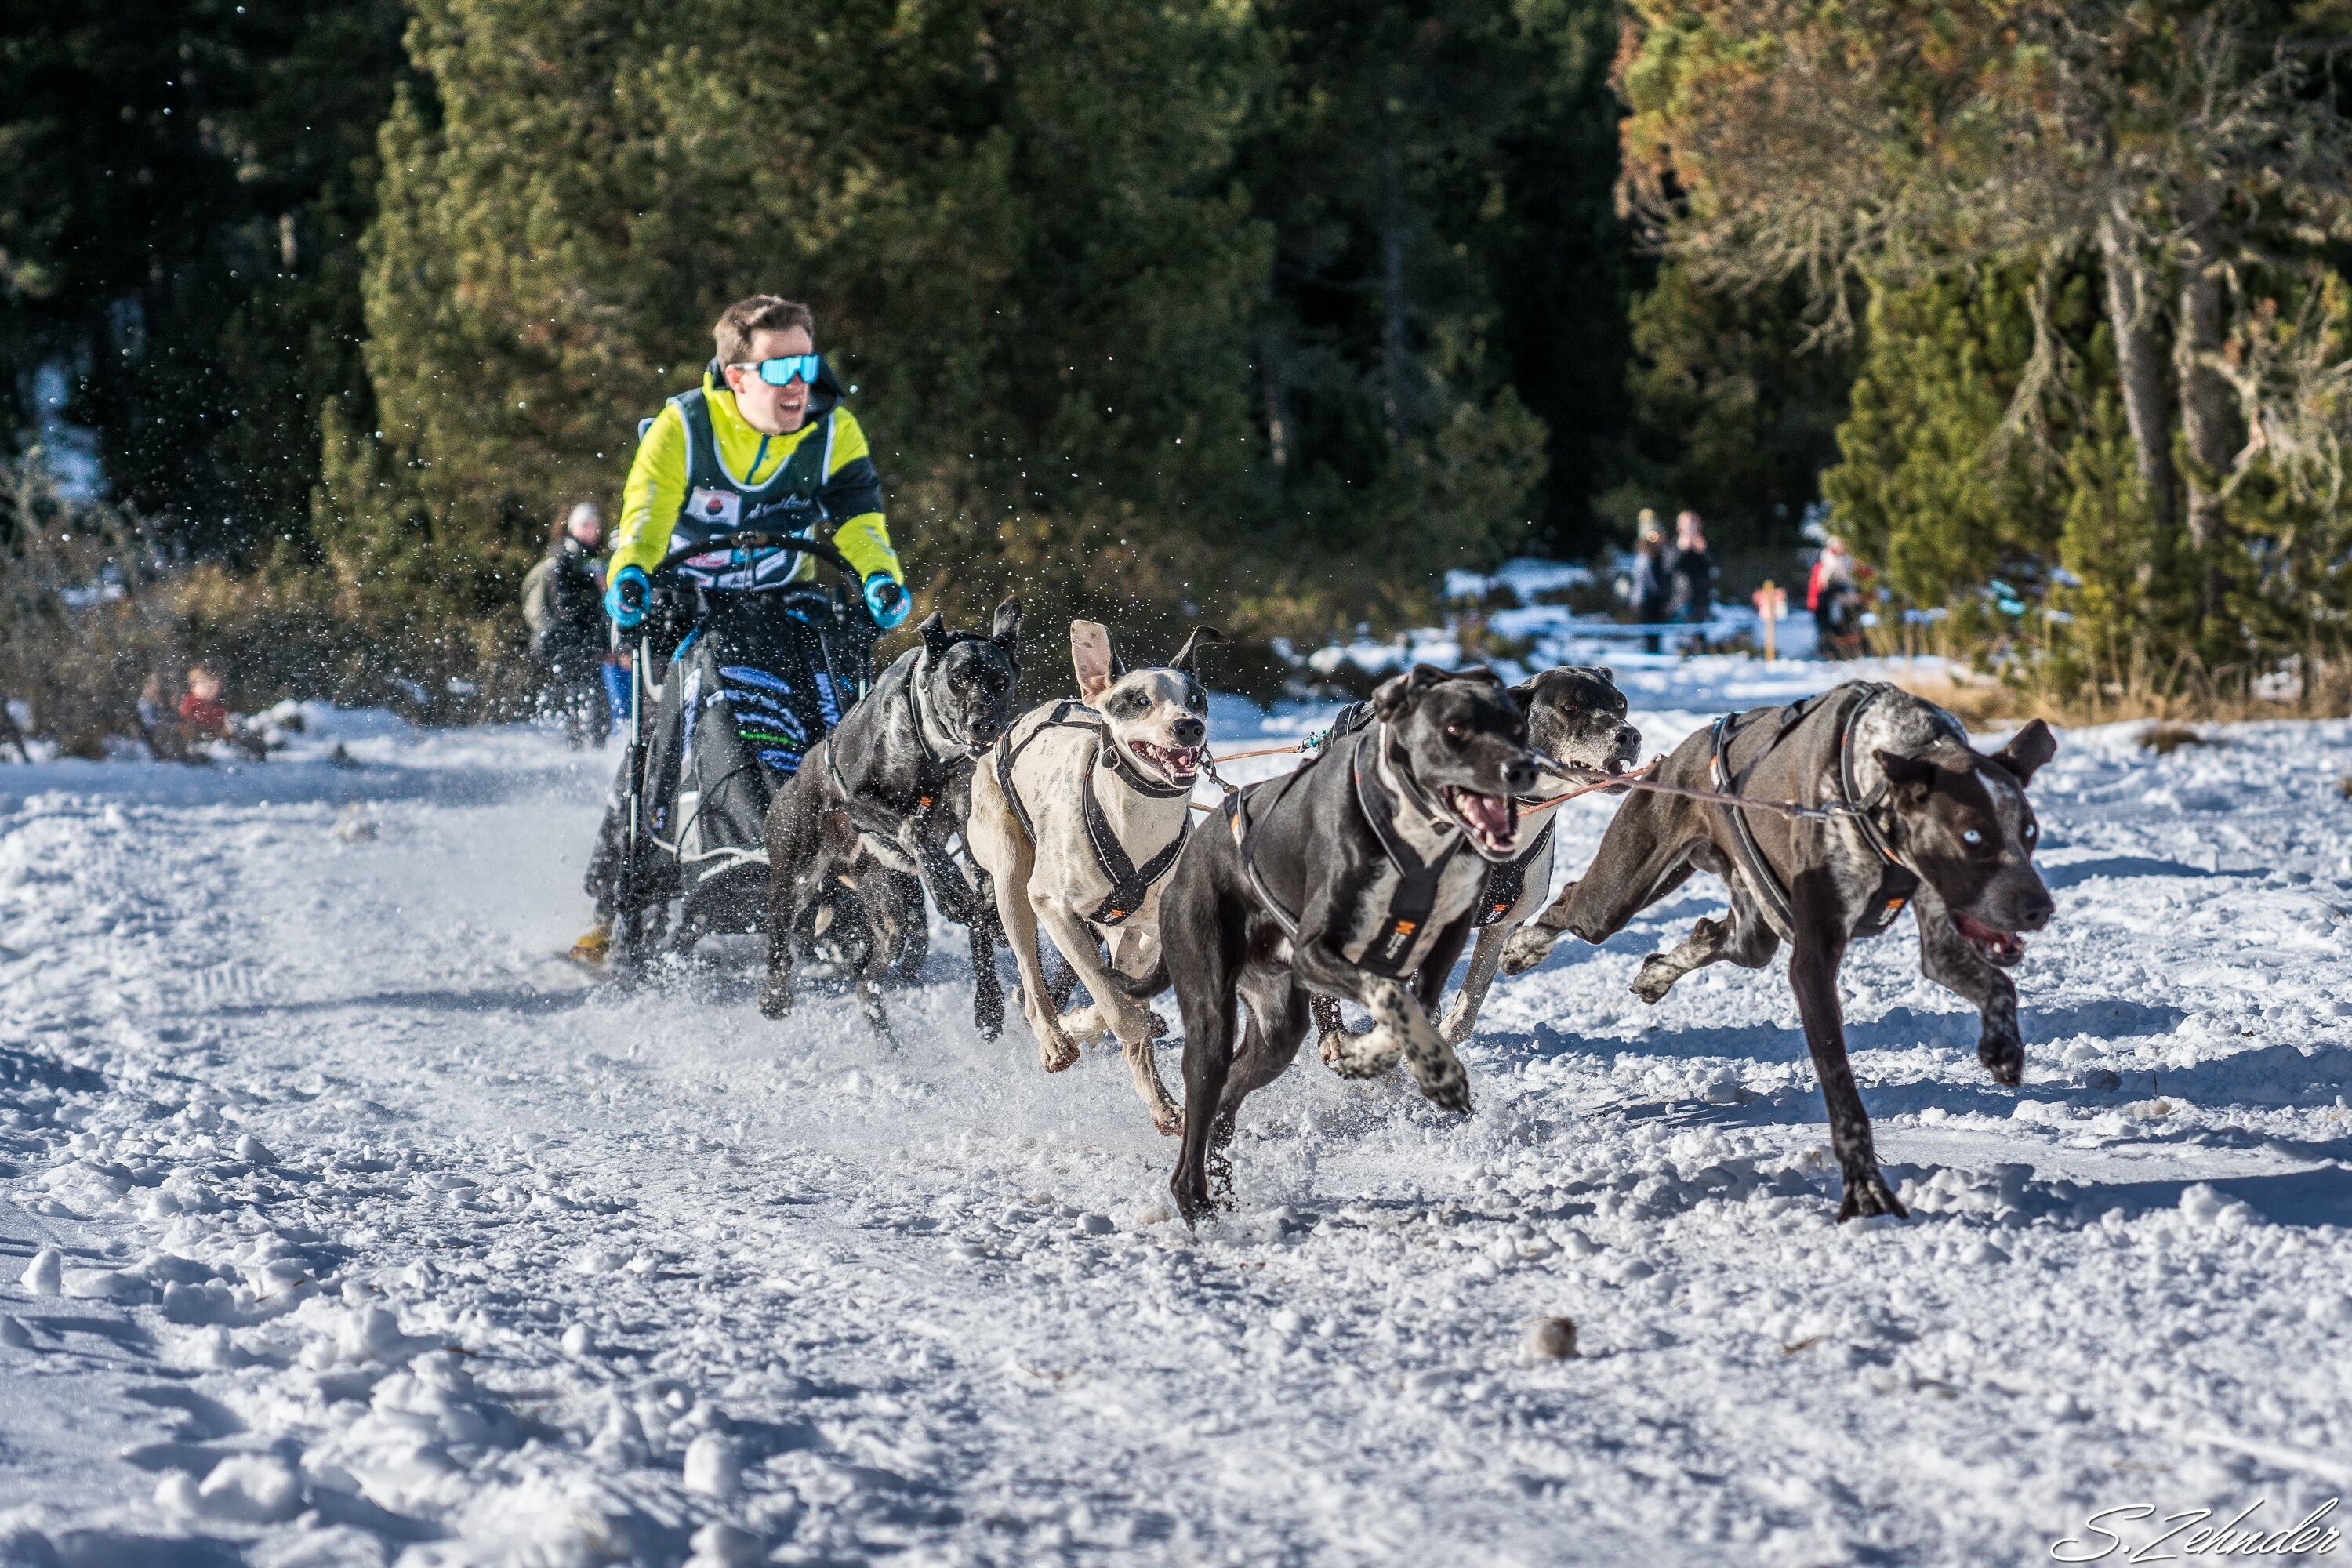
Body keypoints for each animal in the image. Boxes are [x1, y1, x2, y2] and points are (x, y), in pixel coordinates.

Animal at [762, 606, 1021, 1034]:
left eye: (1001, 682)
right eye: (957, 679)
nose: (984, 723)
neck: (936, 758)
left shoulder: (971, 832)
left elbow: (982, 910)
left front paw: (988, 1003)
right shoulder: (859, 800)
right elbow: (915, 830)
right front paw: (949, 889)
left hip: (889, 914)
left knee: (867, 980)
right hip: (794, 881)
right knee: (779, 942)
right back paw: (774, 998)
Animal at [1157, 662, 1543, 1222]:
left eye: (1518, 729)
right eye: (1455, 729)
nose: (1521, 770)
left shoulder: (1443, 943)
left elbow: (1414, 1006)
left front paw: (1381, 1057)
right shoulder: (1318, 953)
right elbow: (1389, 994)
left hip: (1277, 1029)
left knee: (1229, 1097)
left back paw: (1223, 1180)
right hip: (1210, 1012)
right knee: (1198, 1116)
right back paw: (1197, 1204)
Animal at [1496, 686, 2051, 1222]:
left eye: (2029, 831)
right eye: (1972, 835)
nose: (2039, 909)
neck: (1869, 790)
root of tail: (1677, 755)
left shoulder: (1939, 938)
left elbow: (1998, 985)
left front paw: (2003, 1049)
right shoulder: (1813, 966)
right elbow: (1843, 1092)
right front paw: (1866, 1190)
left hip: (1749, 918)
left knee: (1722, 937)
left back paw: (1657, 973)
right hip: (1617, 896)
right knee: (1572, 903)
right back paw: (1522, 948)